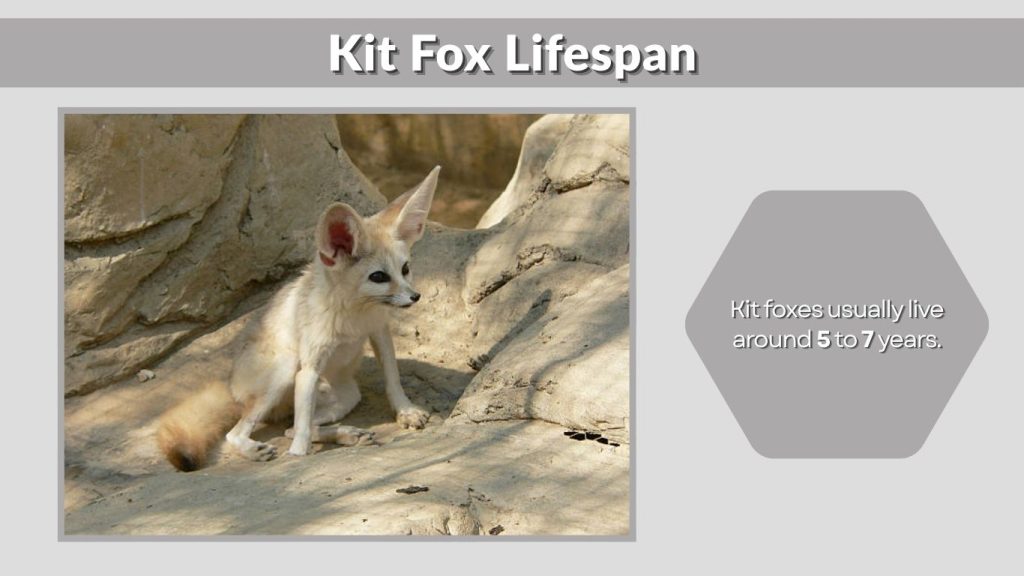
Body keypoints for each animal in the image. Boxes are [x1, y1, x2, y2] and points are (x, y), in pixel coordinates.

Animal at [157, 166, 440, 472]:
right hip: (285, 369)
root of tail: (230, 386)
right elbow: (302, 427)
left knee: (289, 427)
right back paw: (256, 449)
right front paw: (297, 456)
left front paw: (406, 410)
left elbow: (392, 379)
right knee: (242, 432)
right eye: (378, 277)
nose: (415, 297)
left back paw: (347, 434)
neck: (353, 316)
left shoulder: (379, 332)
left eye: (405, 269)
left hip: (346, 395)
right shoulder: (309, 368)